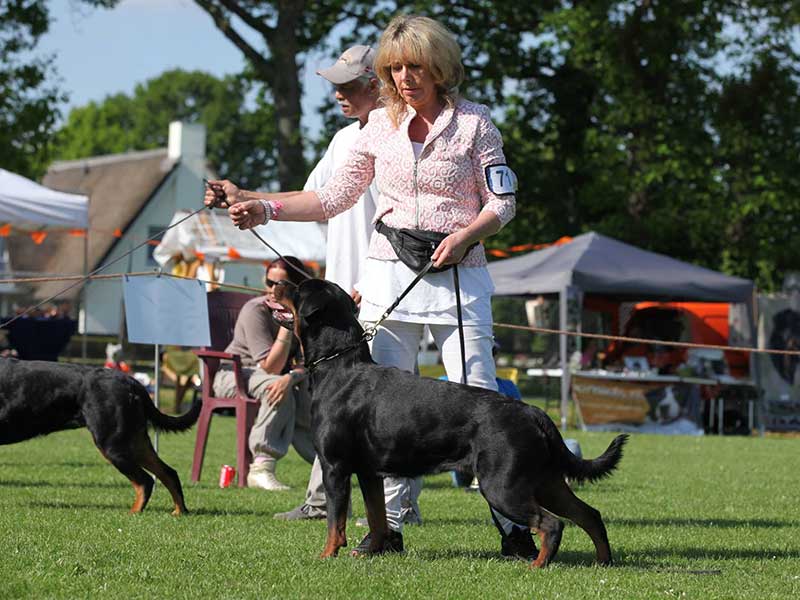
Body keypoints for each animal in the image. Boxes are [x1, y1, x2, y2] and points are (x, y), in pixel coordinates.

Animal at [0, 356, 200, 516]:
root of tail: (132, 382)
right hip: (135, 441)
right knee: (168, 472)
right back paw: (179, 511)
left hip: (112, 444)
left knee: (145, 481)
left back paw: (133, 513)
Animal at [284, 278, 628, 568]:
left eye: (297, 290)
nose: (278, 283)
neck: (337, 365)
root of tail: (533, 412)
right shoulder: (369, 473)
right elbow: (377, 517)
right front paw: (374, 550)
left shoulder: (335, 468)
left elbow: (335, 522)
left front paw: (326, 556)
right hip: (546, 481)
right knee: (589, 514)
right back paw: (603, 561)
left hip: (502, 486)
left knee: (552, 523)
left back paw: (539, 564)